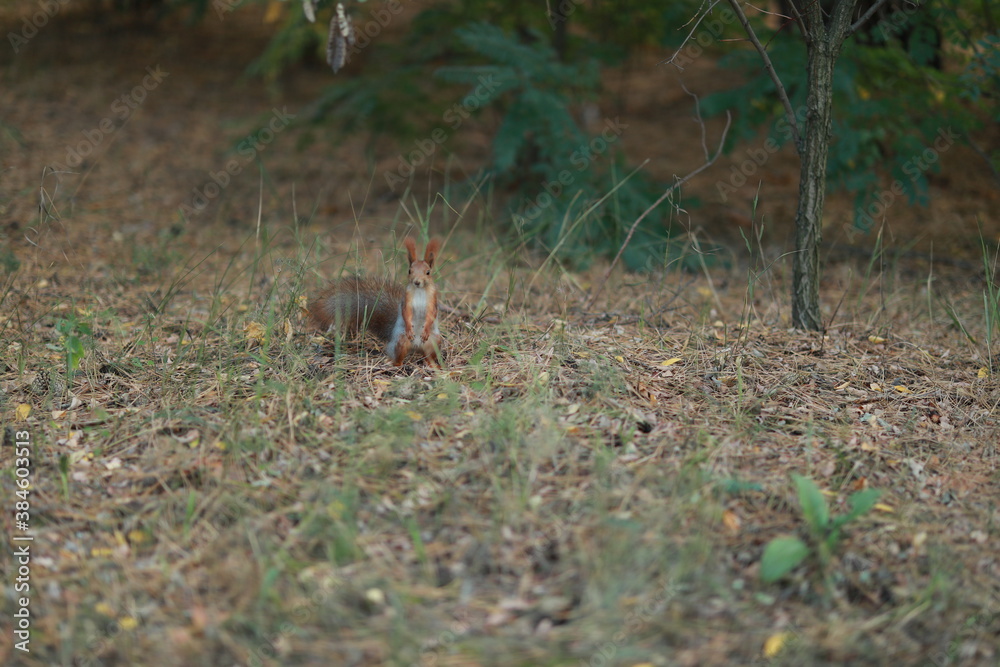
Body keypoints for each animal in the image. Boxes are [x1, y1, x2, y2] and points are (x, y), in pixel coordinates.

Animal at [308, 237, 443, 368]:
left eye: (428, 272)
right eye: (410, 271)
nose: (417, 282)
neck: (419, 291)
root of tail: (416, 347)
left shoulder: (432, 299)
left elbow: (431, 313)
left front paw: (426, 329)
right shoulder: (407, 299)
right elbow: (406, 312)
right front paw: (410, 328)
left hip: (434, 342)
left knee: (429, 356)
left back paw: (433, 365)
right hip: (401, 340)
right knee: (399, 355)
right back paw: (396, 364)